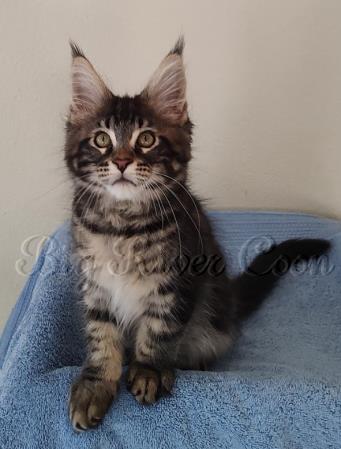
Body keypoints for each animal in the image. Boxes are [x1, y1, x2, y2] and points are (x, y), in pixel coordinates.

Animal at [64, 39, 330, 430]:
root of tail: (231, 303)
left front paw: (148, 372)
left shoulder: (178, 282)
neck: (123, 224)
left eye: (146, 139)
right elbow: (102, 338)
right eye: (101, 140)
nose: (123, 161)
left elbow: (157, 332)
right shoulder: (95, 285)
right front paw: (95, 386)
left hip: (210, 325)